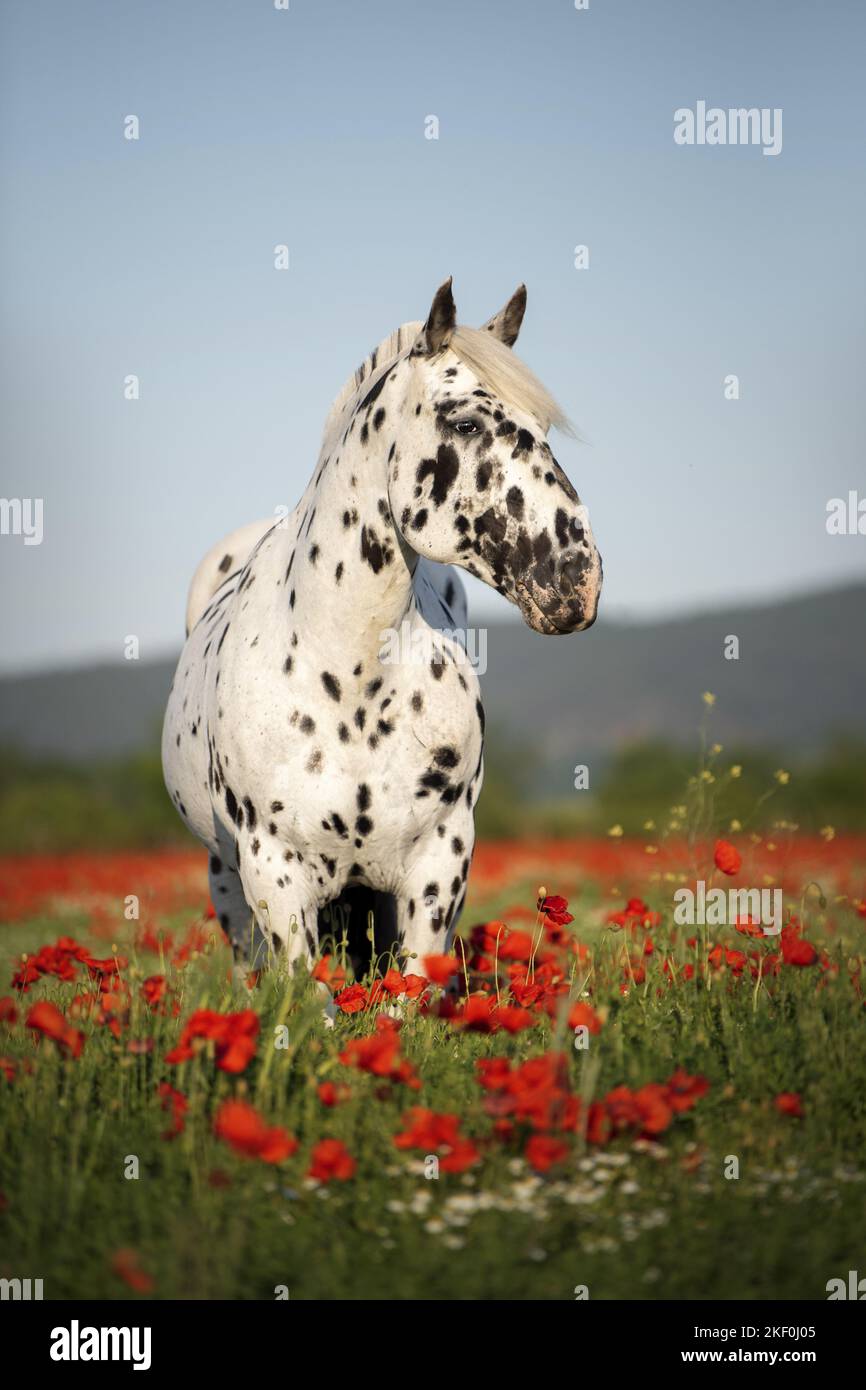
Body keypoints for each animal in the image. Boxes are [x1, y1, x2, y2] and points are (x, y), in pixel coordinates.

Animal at [161, 279, 602, 977]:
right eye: (465, 422)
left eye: (543, 427)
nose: (578, 582)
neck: (350, 675)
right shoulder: (273, 872)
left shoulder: (439, 864)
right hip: (229, 884)